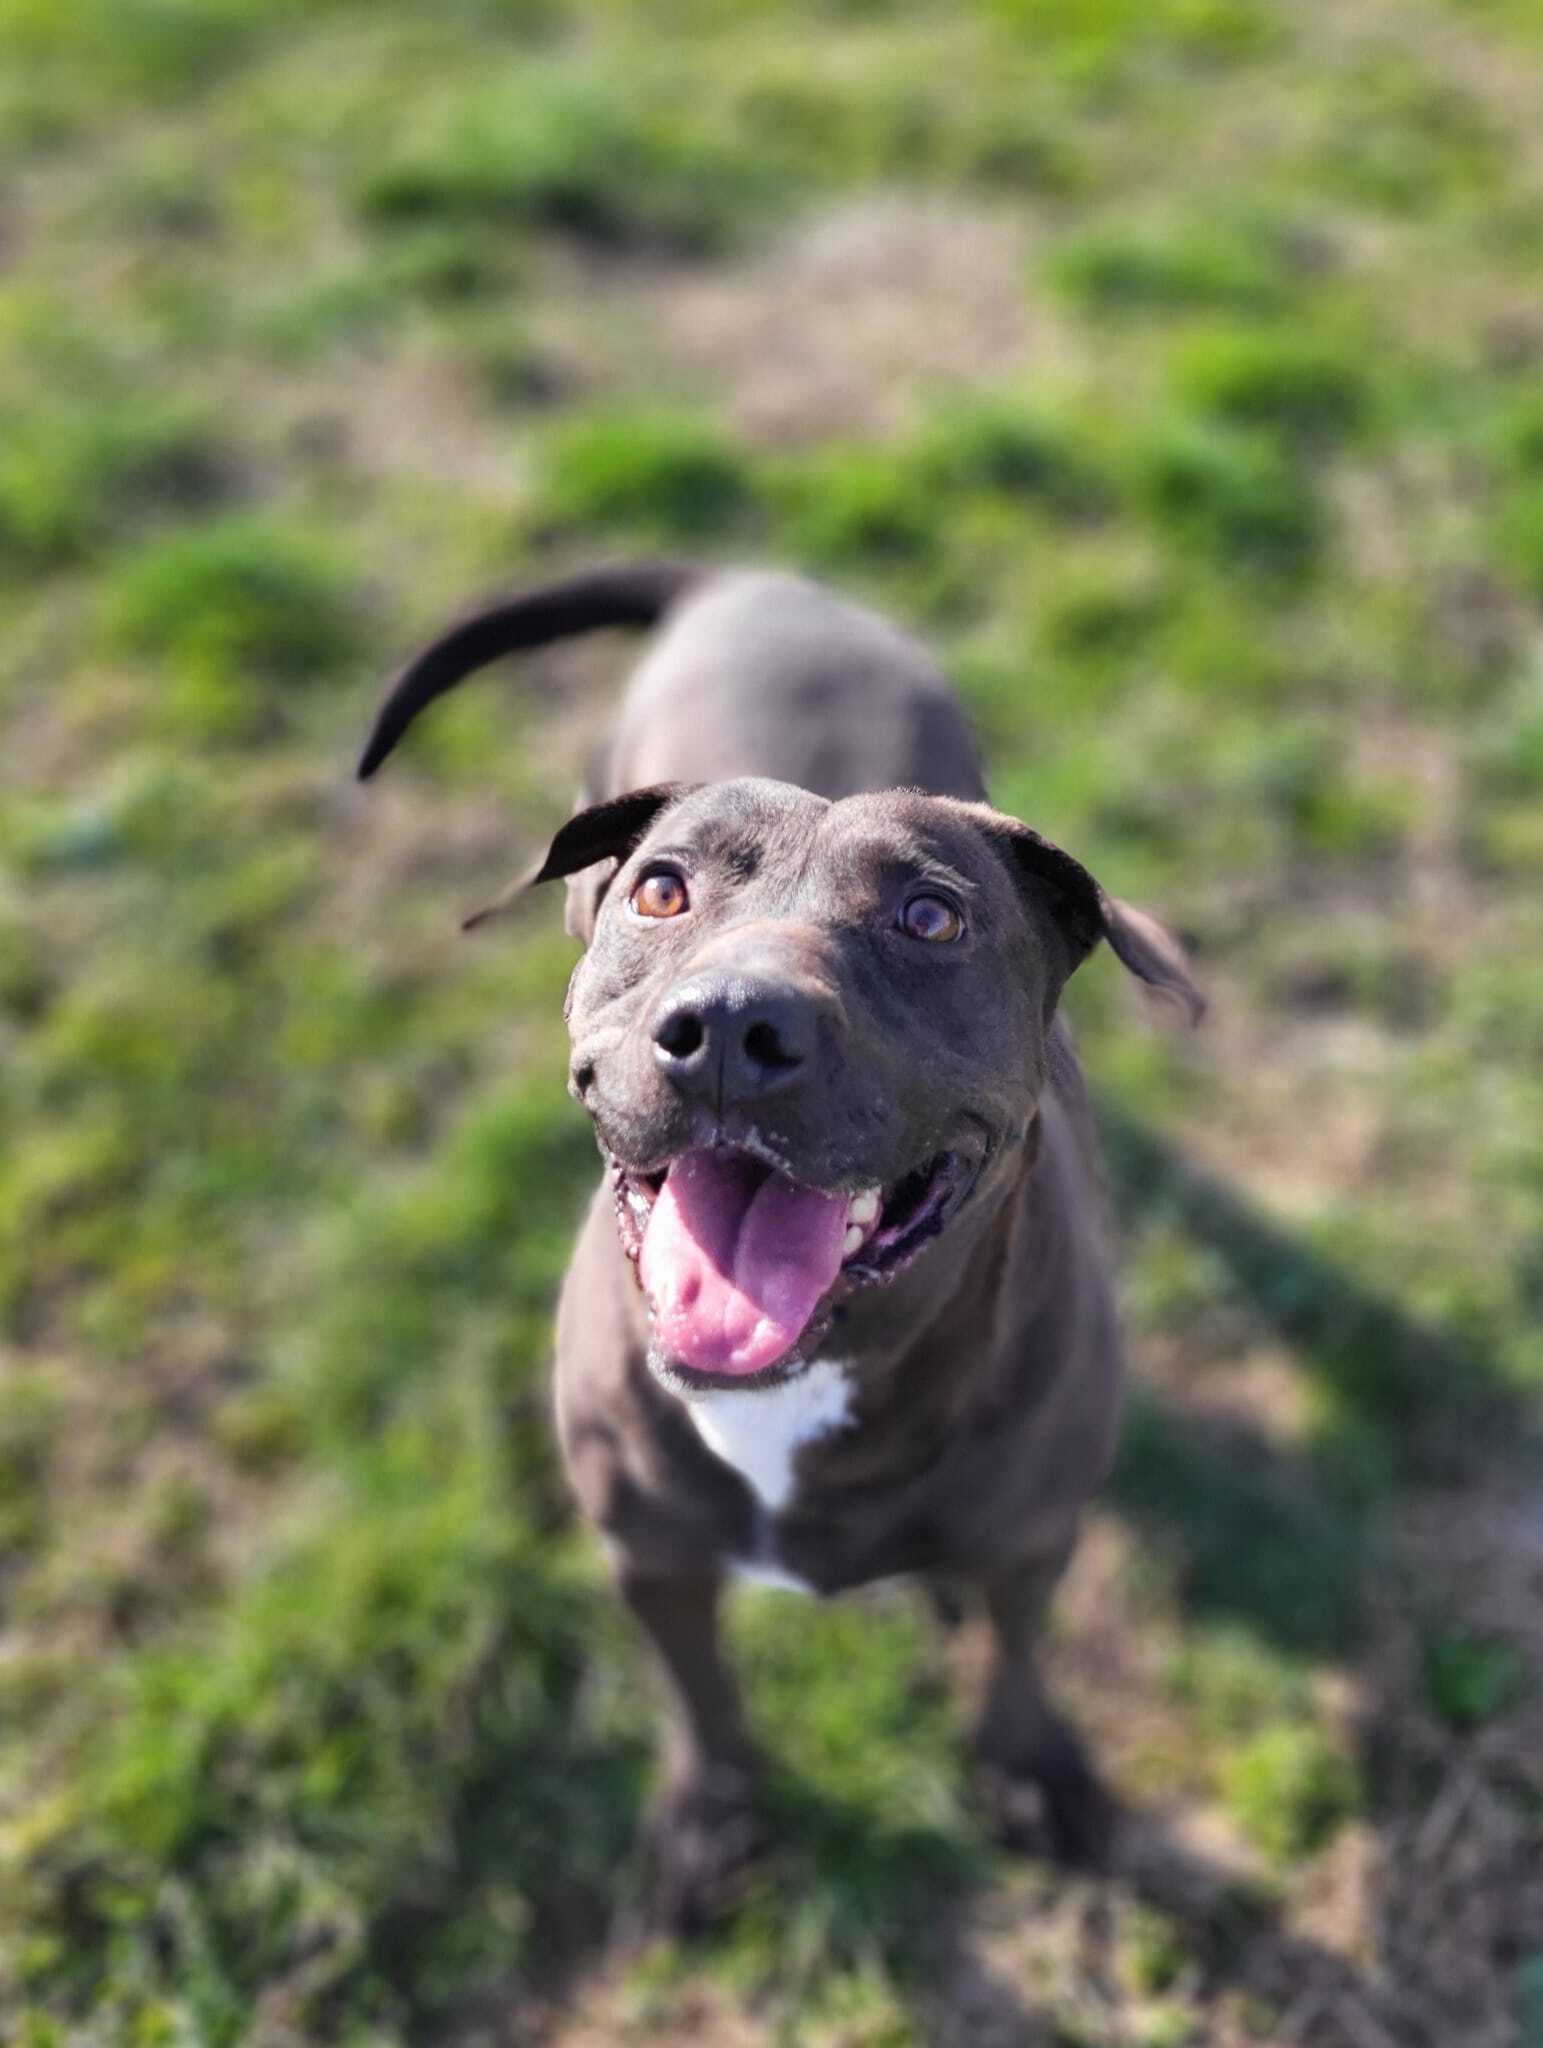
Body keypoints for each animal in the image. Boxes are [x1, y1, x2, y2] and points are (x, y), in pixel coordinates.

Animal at [354, 557, 1196, 1916]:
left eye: (930, 916)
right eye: (661, 888)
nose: (731, 1026)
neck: (798, 1383)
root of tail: (751, 575)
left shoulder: (1031, 1535)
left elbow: (1014, 1655)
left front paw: (1029, 1767)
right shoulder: (650, 1557)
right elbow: (701, 1692)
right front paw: (713, 1810)